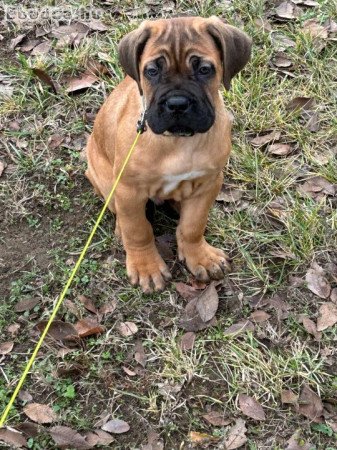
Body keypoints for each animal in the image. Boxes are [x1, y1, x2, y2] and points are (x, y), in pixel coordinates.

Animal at [85, 15, 251, 294]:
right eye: (152, 71)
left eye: (204, 69)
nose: (177, 104)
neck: (178, 141)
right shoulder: (129, 190)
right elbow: (138, 229)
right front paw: (146, 267)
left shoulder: (209, 182)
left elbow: (193, 225)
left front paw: (200, 256)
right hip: (103, 177)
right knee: (119, 211)